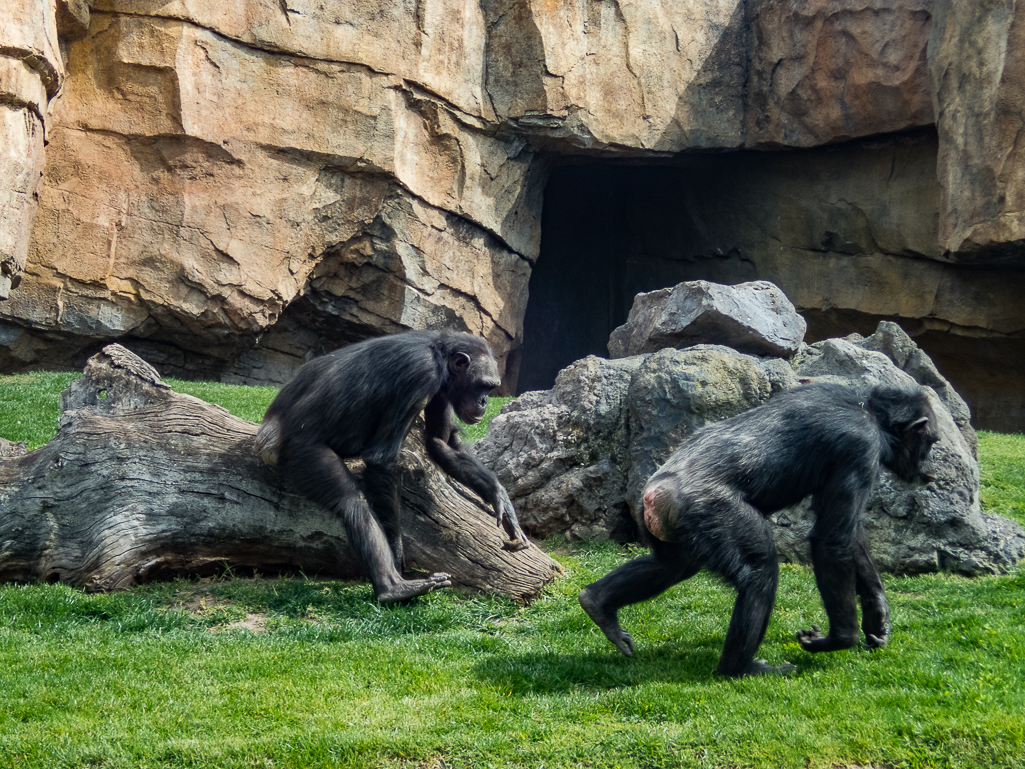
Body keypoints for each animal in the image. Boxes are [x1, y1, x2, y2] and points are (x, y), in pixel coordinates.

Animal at [254, 330, 528, 602]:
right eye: (482, 385)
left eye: (491, 388)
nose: (484, 401)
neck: (440, 356)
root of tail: (267, 435)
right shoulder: (420, 375)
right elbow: (381, 459)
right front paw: (396, 554)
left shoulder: (440, 390)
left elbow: (440, 442)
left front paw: (501, 499)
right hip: (302, 451)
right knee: (351, 502)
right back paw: (394, 587)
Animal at [578, 383, 938, 676]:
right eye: (932, 441)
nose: (930, 466)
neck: (872, 413)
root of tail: (654, 494)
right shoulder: (860, 447)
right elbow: (832, 538)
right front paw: (838, 639)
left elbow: (850, 537)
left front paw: (878, 618)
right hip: (715, 512)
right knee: (759, 571)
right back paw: (741, 668)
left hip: (671, 527)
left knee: (671, 566)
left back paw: (599, 605)